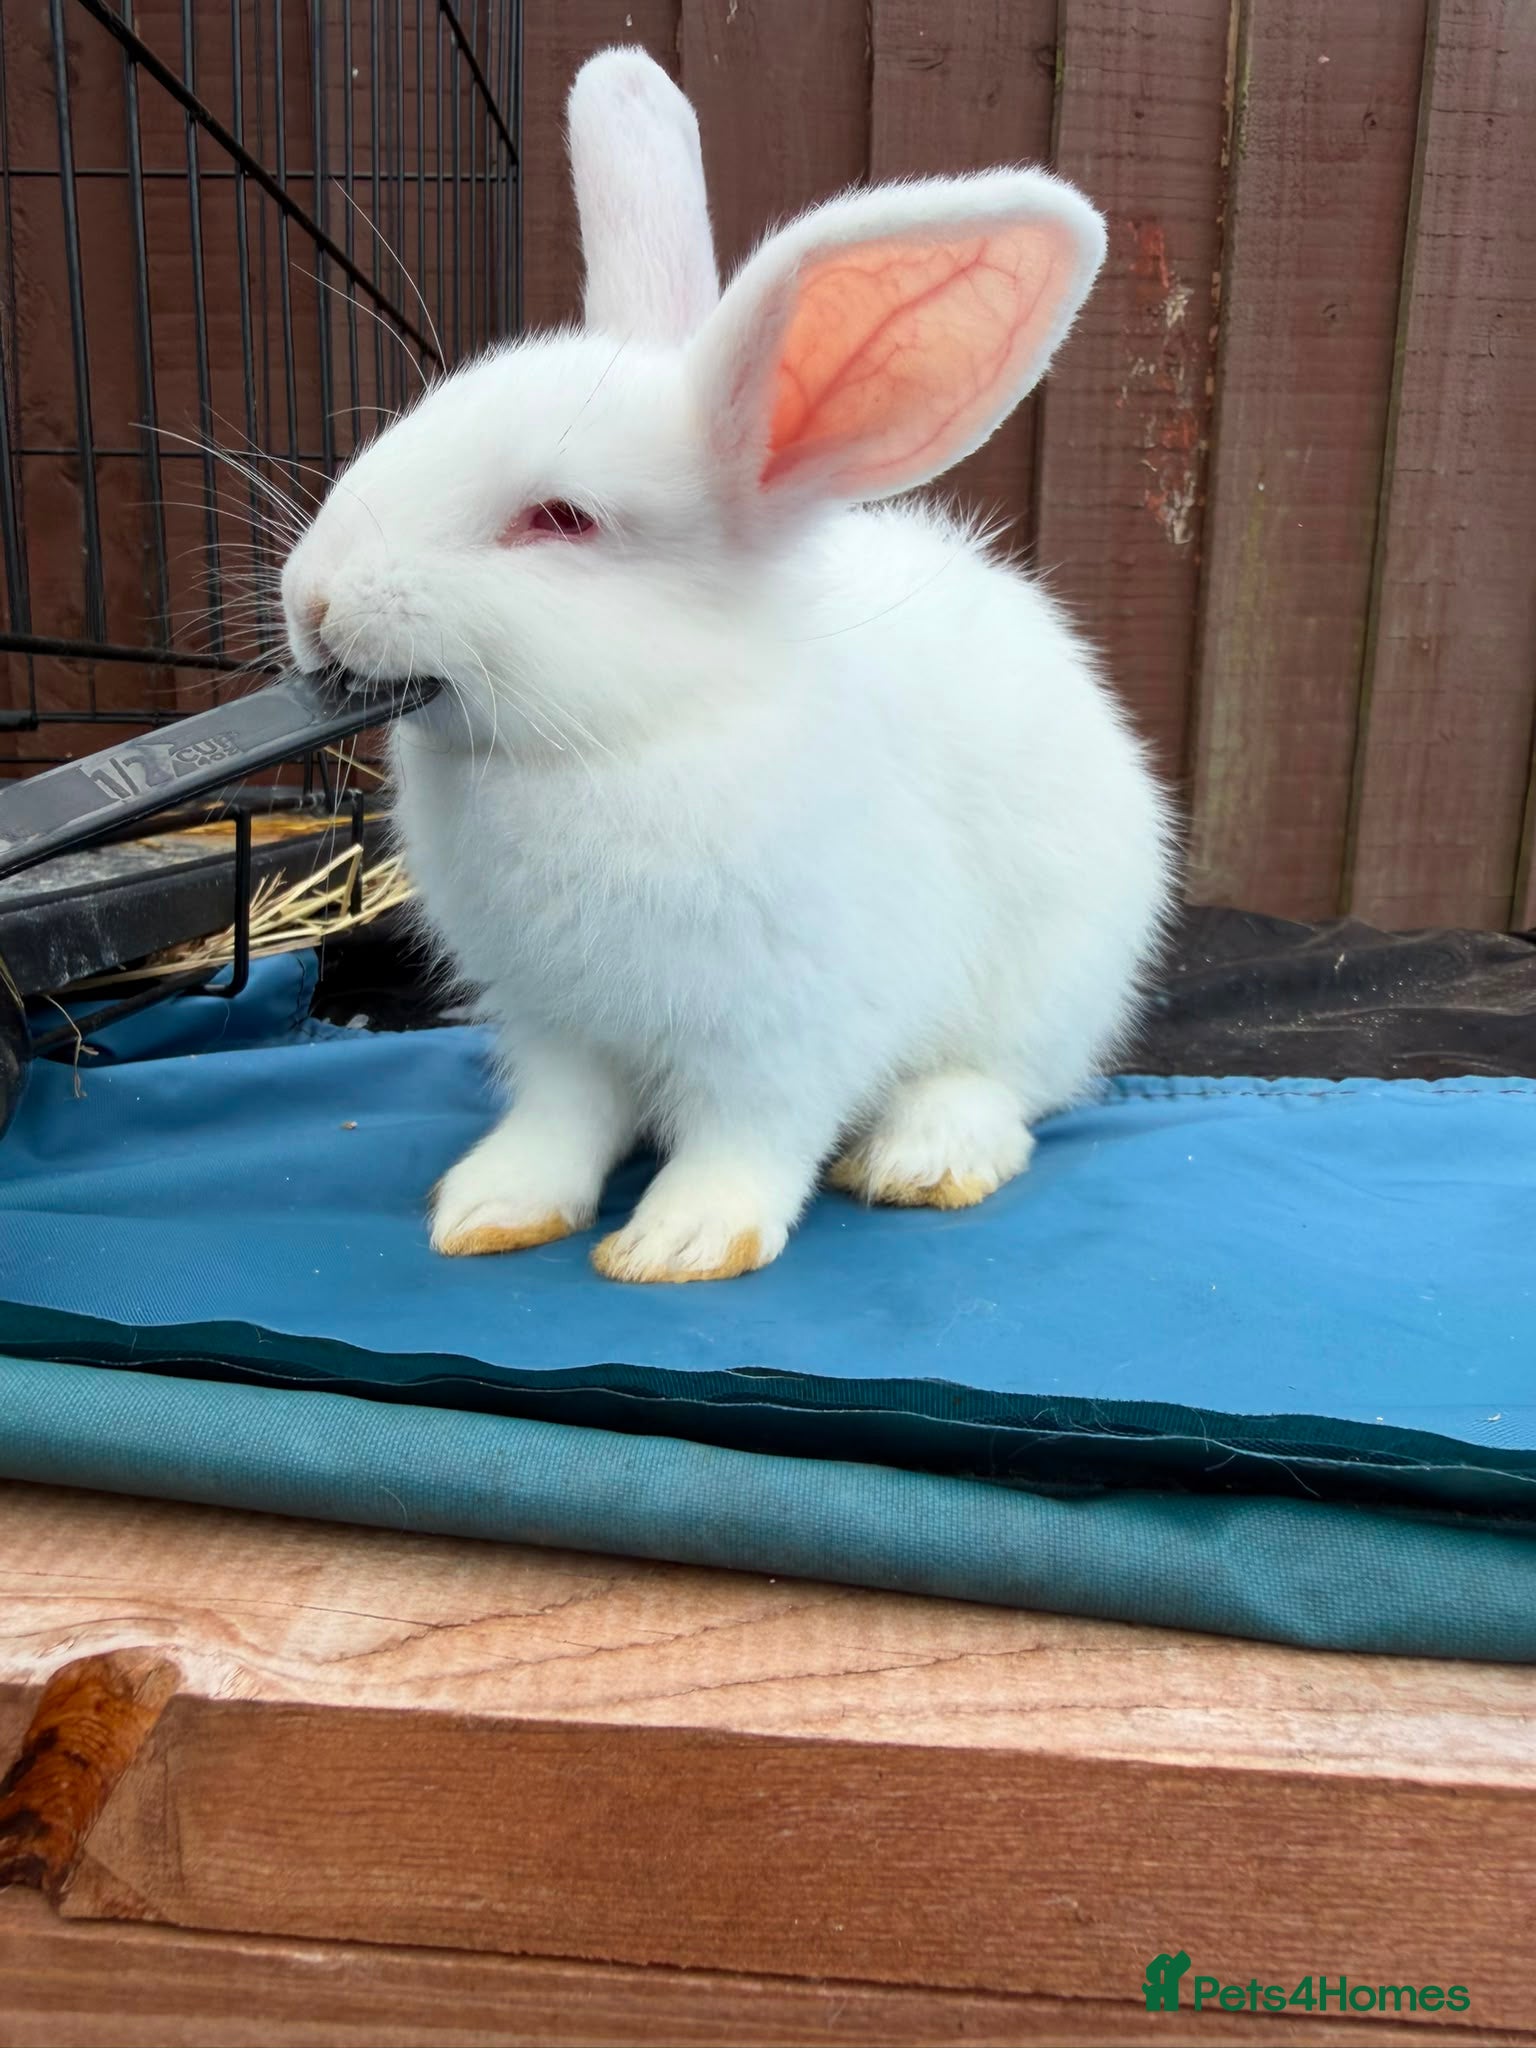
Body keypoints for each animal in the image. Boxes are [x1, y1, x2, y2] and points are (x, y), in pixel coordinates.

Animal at [280, 47, 1176, 1284]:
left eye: (560, 520)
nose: (313, 602)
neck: (623, 737)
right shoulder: (556, 1024)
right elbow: (559, 1121)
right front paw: (492, 1208)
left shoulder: (787, 1027)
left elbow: (750, 1134)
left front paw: (684, 1240)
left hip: (1051, 982)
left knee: (1003, 1086)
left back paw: (926, 1158)